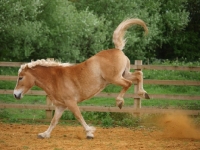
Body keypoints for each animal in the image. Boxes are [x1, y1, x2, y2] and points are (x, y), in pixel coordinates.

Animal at [13, 18, 149, 139]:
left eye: (20, 78)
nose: (15, 94)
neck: (55, 79)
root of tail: (117, 49)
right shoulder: (60, 106)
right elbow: (54, 121)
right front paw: (44, 134)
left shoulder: (71, 102)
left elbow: (78, 116)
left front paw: (89, 133)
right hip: (124, 73)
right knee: (138, 75)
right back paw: (144, 93)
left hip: (114, 78)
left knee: (128, 83)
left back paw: (120, 102)